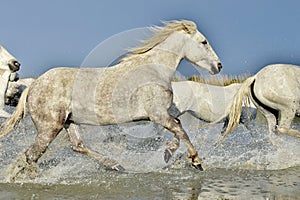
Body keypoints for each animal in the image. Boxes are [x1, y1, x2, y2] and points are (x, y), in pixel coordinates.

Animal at [0, 20, 223, 180]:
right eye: (203, 42)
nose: (218, 66)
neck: (154, 69)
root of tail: (33, 86)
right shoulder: (158, 115)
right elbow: (180, 129)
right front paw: (196, 161)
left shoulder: (161, 115)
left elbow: (178, 127)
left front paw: (170, 154)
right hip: (50, 128)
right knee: (31, 155)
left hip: (69, 122)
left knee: (77, 146)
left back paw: (115, 164)